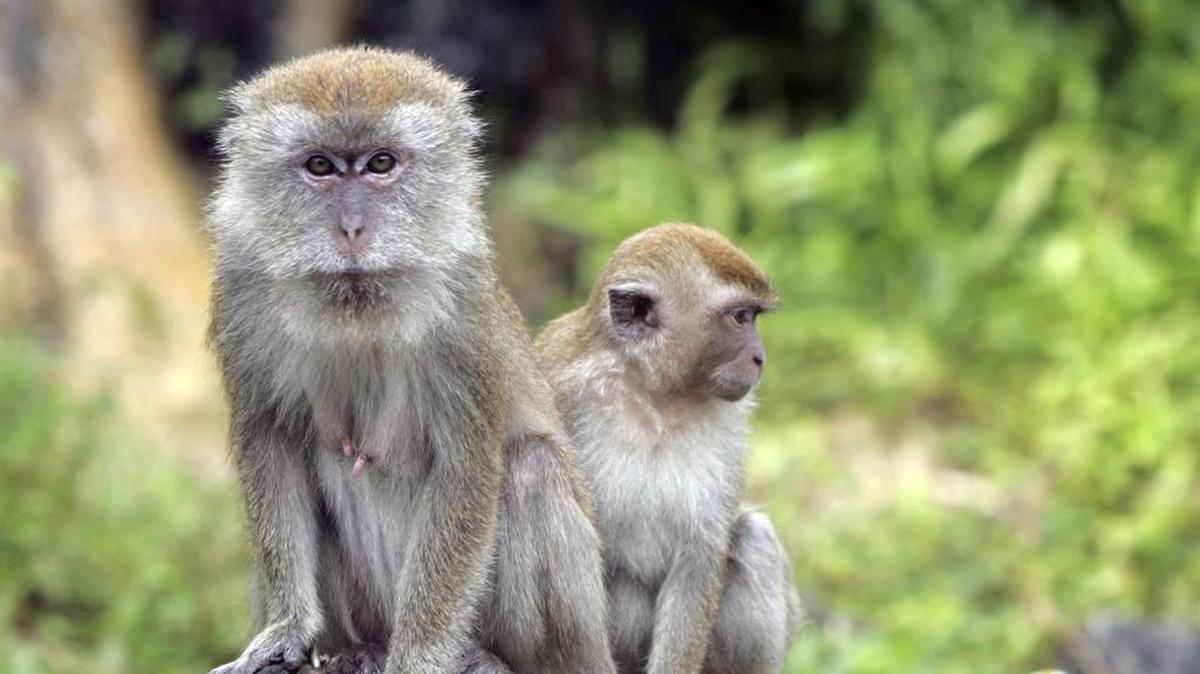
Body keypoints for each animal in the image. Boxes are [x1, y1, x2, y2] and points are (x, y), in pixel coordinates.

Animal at [202, 47, 617, 674]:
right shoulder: (241, 292)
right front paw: (288, 625)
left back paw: (489, 657)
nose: (351, 227)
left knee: (534, 469)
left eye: (380, 163)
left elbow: (466, 468)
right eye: (320, 166)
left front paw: (418, 657)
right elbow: (271, 441)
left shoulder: (461, 310)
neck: (356, 302)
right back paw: (360, 650)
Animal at [536, 223, 801, 674]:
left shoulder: (730, 425)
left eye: (752, 317)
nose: (760, 357)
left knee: (755, 539)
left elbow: (700, 556)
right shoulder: (558, 384)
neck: (655, 395)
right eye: (740, 317)